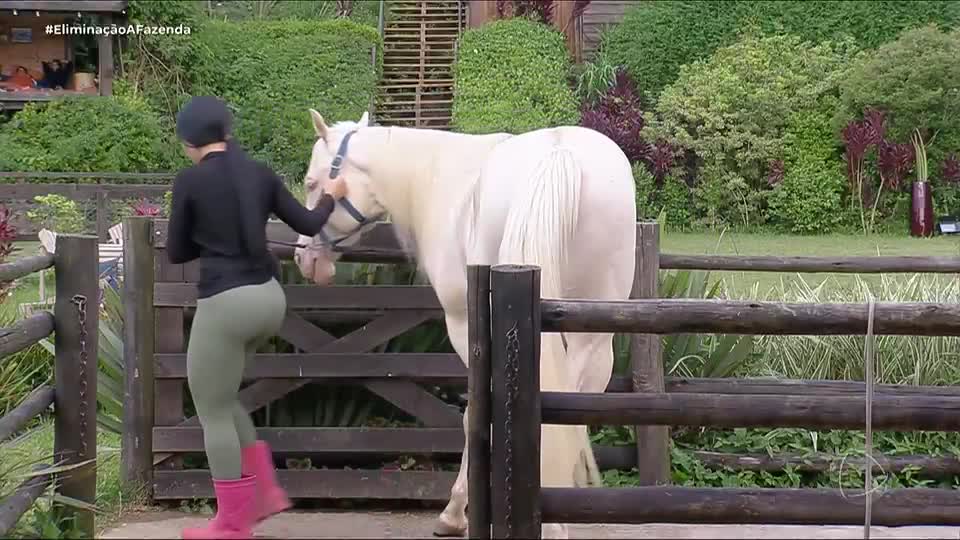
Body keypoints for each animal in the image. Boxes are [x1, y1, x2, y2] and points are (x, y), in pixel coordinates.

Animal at [293, 110, 637, 539]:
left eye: (312, 182)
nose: (303, 258)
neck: (442, 178)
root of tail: (561, 154)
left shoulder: (463, 329)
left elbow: (472, 413)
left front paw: (454, 513)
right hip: (594, 338)